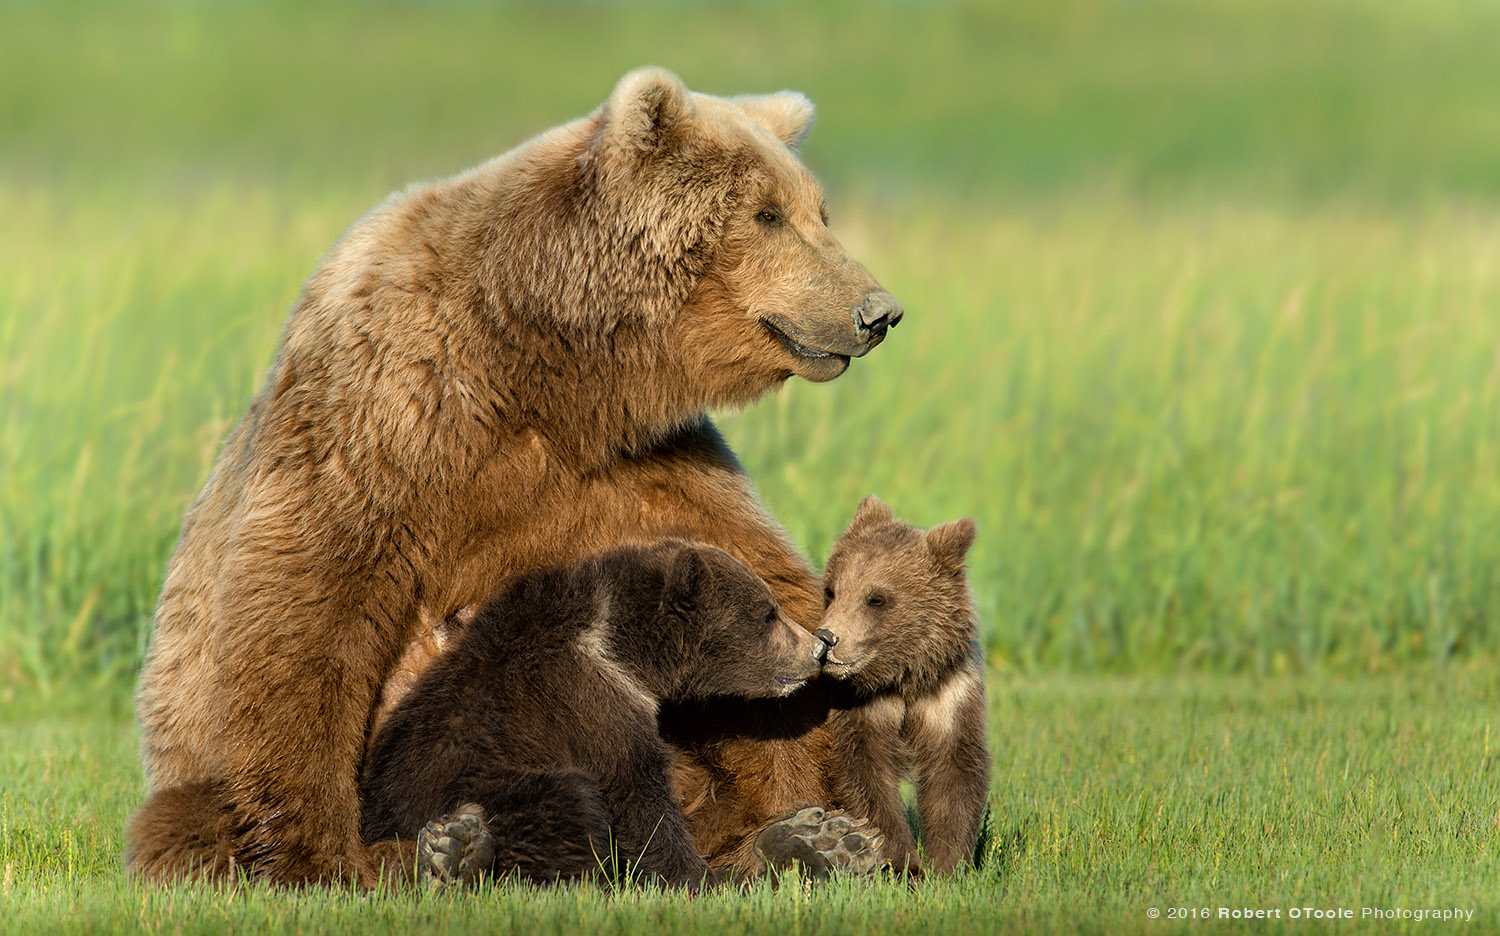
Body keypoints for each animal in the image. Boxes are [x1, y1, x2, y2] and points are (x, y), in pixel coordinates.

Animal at [126, 67, 900, 882]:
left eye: (820, 210)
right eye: (766, 213)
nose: (878, 311)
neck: (545, 361)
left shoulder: (643, 466)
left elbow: (749, 576)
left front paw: (844, 798)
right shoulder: (389, 409)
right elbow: (307, 601)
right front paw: (316, 850)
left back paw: (804, 840)